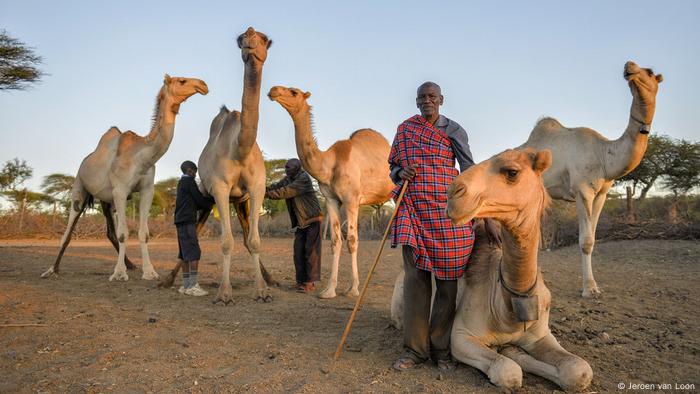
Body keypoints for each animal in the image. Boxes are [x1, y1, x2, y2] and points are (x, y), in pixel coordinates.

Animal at [41, 74, 208, 280]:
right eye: (182, 80)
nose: (203, 85)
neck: (142, 156)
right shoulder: (120, 190)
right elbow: (123, 233)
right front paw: (119, 274)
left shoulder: (146, 190)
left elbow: (143, 233)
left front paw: (149, 271)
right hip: (79, 187)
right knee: (69, 229)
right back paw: (51, 269)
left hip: (106, 201)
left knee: (109, 231)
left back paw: (131, 265)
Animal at [197, 27, 276, 304]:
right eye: (241, 38)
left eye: (264, 39)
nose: (250, 36)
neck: (239, 149)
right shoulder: (220, 189)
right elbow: (225, 242)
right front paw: (223, 293)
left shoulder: (256, 188)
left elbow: (254, 240)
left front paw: (262, 291)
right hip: (207, 197)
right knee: (195, 233)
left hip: (241, 202)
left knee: (246, 236)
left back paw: (269, 279)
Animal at [268, 84, 394, 298]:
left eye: (294, 92)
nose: (273, 90)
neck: (329, 164)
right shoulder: (331, 199)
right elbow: (336, 241)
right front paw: (329, 290)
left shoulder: (352, 200)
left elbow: (352, 240)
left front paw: (353, 289)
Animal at [524, 60, 664, 296]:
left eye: (650, 72)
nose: (629, 66)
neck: (604, 154)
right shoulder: (582, 191)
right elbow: (586, 241)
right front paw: (589, 288)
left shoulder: (602, 193)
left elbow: (594, 237)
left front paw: (593, 286)